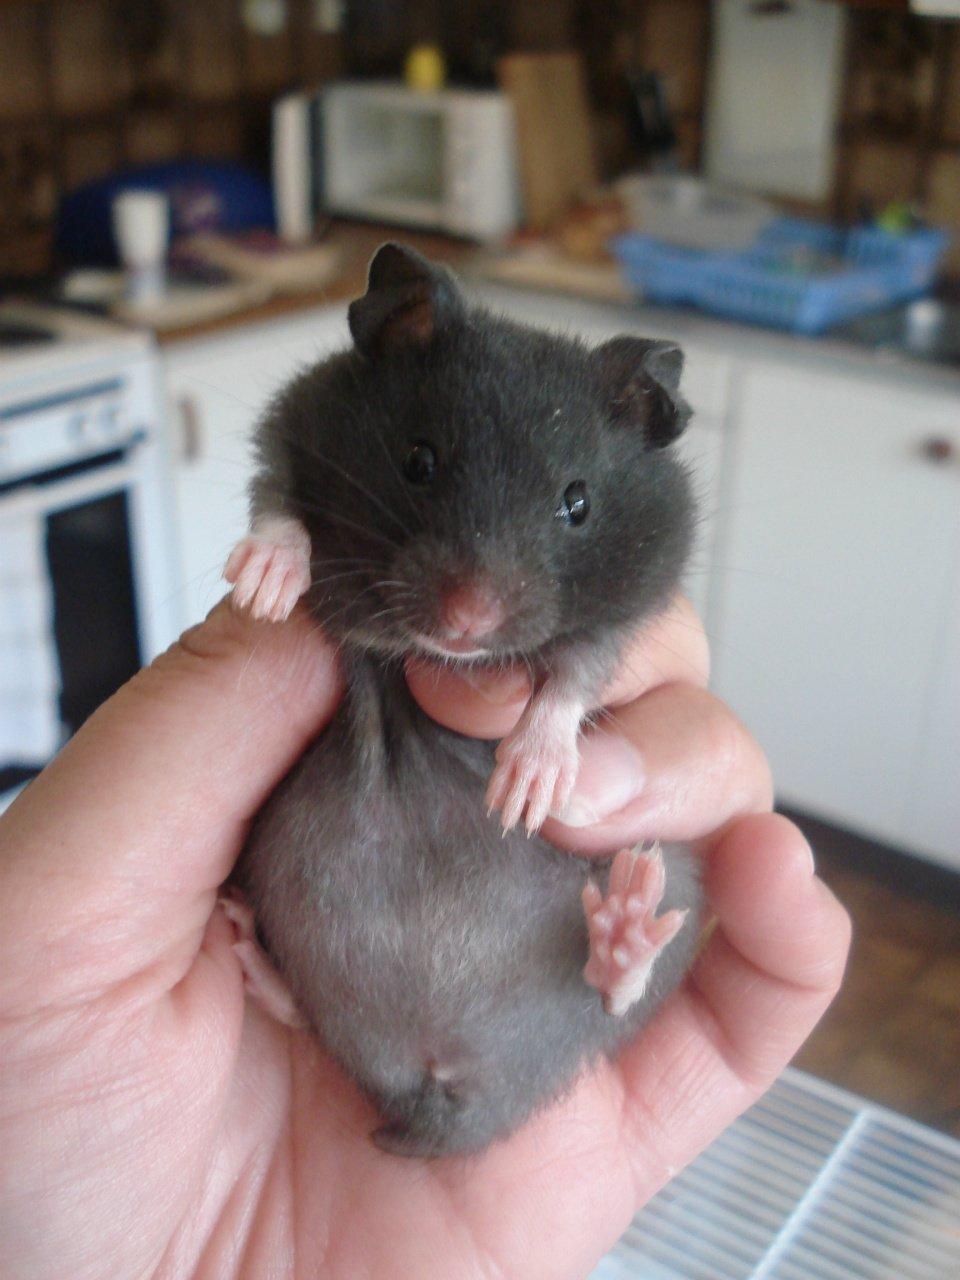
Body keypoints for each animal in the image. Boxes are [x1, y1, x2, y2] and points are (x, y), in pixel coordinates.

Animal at [226, 243, 704, 1158]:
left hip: (684, 884)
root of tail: (444, 1079)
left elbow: (573, 676)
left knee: (607, 994)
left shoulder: (629, 608)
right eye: (418, 460)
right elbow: (277, 503)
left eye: (577, 501)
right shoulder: (290, 424)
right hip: (276, 866)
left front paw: (526, 787)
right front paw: (262, 589)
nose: (467, 623)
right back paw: (244, 953)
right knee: (305, 1015)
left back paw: (627, 926)